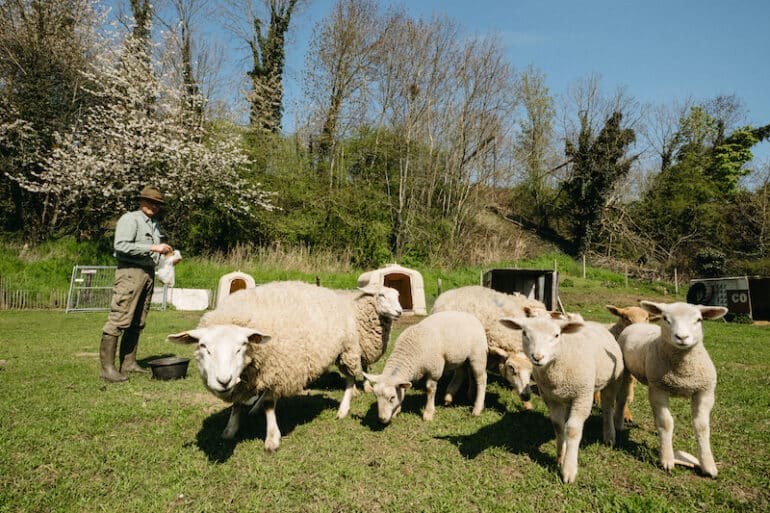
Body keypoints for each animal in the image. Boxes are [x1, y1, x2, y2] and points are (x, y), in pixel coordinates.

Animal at [164, 280, 400, 452]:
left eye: (241, 347)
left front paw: (272, 439)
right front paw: (230, 429)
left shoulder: (276, 371)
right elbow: (237, 404)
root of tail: (327, 291)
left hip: (347, 349)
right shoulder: (248, 378)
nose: (223, 380)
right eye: (204, 347)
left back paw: (343, 410)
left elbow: (270, 404)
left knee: (350, 379)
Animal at [498, 314, 624, 482]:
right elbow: (558, 426)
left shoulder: (582, 395)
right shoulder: (551, 398)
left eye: (557, 335)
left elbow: (572, 430)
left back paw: (609, 435)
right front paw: (560, 458)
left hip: (612, 380)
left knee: (608, 406)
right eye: (524, 333)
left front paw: (569, 470)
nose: (537, 357)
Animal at [612, 300, 728, 476]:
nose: (682, 337)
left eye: (699, 320)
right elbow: (666, 423)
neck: (683, 372)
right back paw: (619, 423)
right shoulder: (658, 389)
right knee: (623, 396)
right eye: (666, 319)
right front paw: (667, 460)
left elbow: (702, 427)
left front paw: (708, 465)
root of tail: (638, 325)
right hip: (626, 371)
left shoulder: (705, 392)